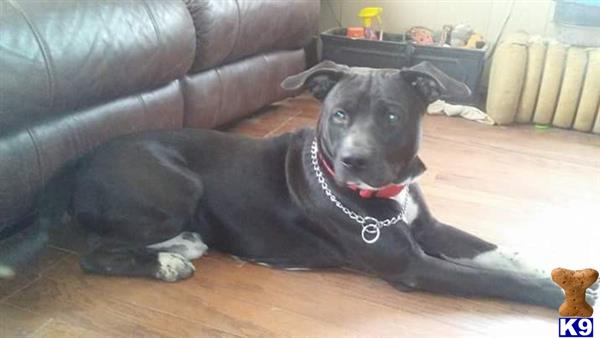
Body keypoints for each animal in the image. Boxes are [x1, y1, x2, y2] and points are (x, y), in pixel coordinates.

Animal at [10, 61, 600, 308]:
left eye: (390, 116)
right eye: (338, 115)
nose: (354, 161)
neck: (384, 196)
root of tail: (75, 161)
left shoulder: (429, 229)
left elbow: (501, 254)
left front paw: (568, 274)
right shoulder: (411, 264)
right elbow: (502, 280)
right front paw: (564, 297)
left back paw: (183, 246)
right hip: (177, 184)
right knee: (93, 251)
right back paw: (166, 262)